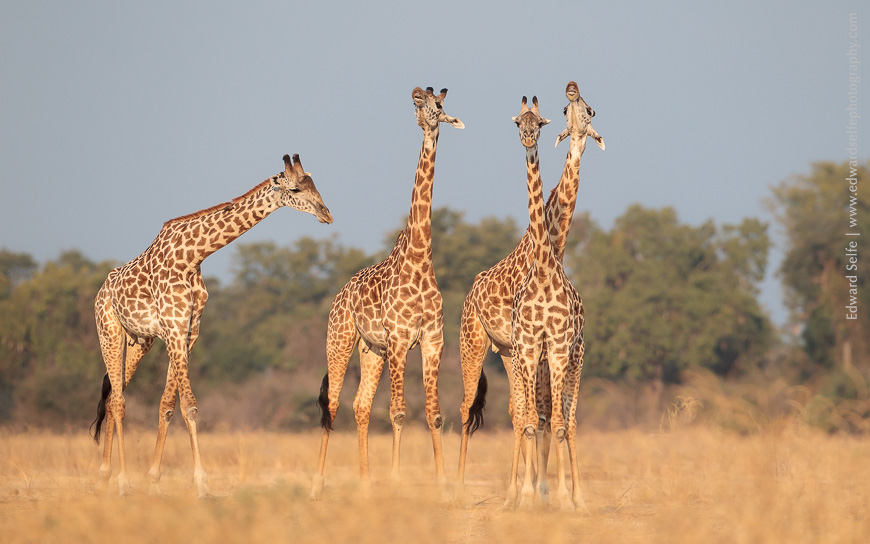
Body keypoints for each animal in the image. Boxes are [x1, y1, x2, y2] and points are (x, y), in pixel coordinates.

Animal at [90, 154, 332, 497]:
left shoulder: (188, 332)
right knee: (119, 401)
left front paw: (154, 480)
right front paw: (201, 484)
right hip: (109, 332)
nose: (327, 214)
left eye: (315, 183)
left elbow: (167, 405)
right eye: (297, 188)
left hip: (139, 341)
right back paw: (121, 482)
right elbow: (190, 406)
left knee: (113, 398)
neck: (192, 257)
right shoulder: (174, 328)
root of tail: (101, 291)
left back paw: (104, 477)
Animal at [311, 86, 464, 500]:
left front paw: (443, 484)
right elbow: (397, 411)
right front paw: (395, 481)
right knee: (333, 404)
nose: (431, 119)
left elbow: (433, 413)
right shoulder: (398, 339)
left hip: (371, 349)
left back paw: (365, 482)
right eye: (419, 104)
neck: (420, 259)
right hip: (341, 339)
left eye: (441, 105)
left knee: (360, 405)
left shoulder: (431, 339)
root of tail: (339, 295)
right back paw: (317, 484)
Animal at [456, 82, 603, 500]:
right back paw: (456, 485)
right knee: (469, 406)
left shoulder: (545, 347)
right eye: (567, 110)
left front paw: (544, 490)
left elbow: (543, 415)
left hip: (507, 352)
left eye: (589, 111)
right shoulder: (531, 344)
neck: (554, 244)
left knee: (520, 410)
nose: (572, 91)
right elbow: (535, 415)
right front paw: (533, 490)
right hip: (474, 343)